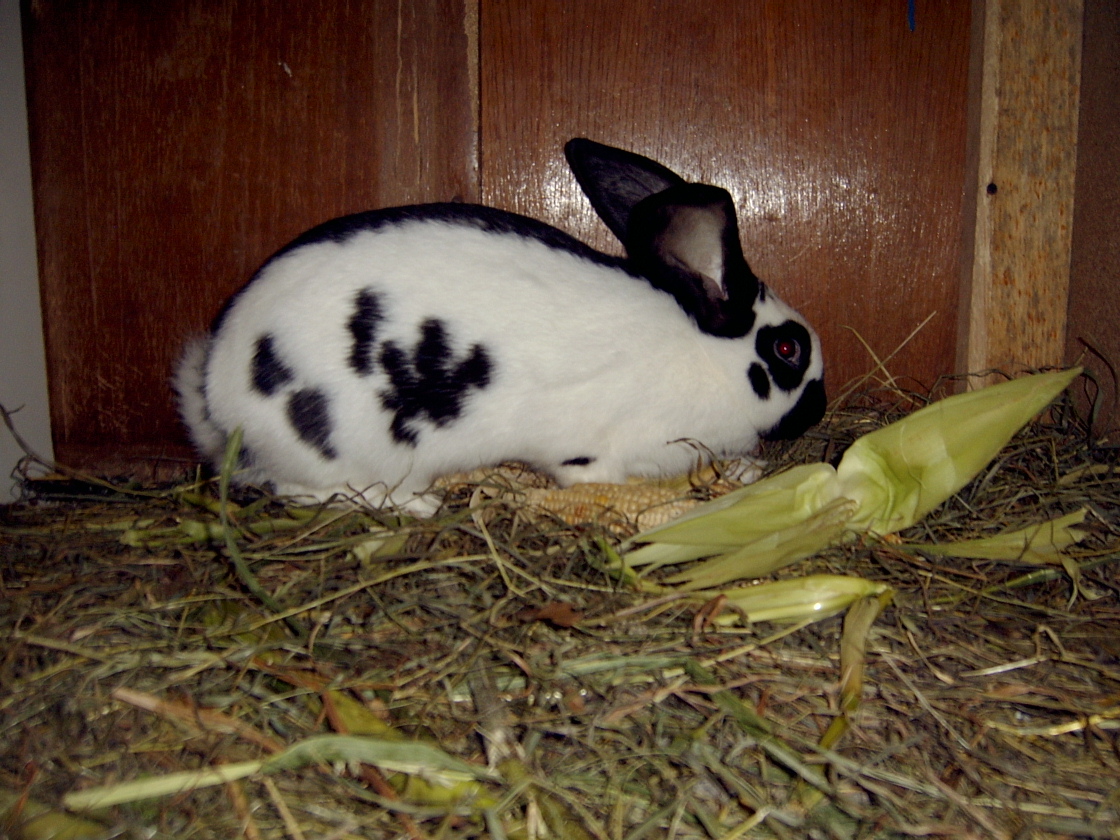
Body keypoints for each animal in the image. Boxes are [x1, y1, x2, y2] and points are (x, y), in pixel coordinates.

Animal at [175, 138, 826, 515]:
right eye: (787, 348)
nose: (818, 410)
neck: (703, 358)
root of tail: (217, 398)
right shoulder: (597, 453)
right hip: (338, 451)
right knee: (293, 487)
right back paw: (416, 505)